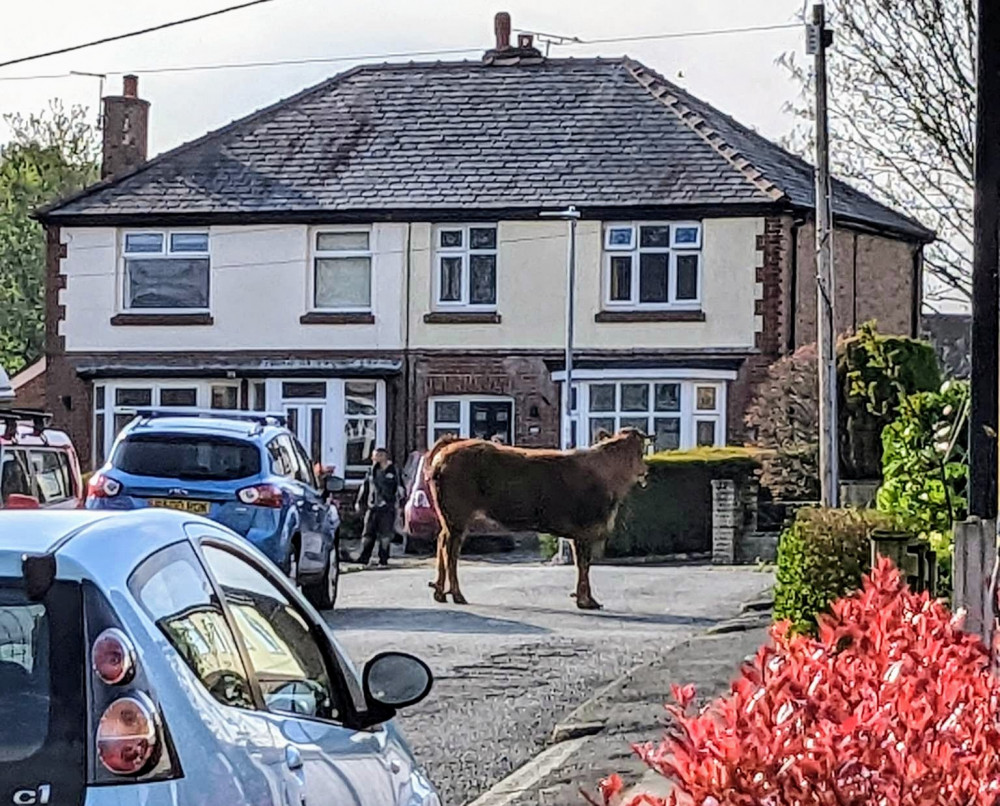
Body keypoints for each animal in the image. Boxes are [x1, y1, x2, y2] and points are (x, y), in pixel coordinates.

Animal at [424, 432, 648, 608]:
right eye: (641, 451)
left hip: (449, 519)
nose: (646, 470)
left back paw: (439, 593)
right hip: (457, 518)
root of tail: (450, 446)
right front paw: (586, 601)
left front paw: (585, 598)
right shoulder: (584, 530)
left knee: (442, 543)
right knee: (450, 551)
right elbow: (584, 564)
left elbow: (582, 564)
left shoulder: (579, 534)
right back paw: (457, 594)